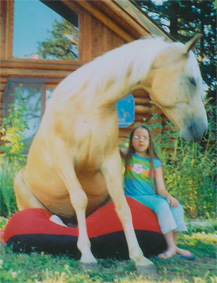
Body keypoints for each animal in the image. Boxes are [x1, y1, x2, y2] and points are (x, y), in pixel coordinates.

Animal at [13, 34, 207, 276]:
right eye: (192, 80)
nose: (202, 130)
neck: (89, 104)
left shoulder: (110, 162)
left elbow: (123, 208)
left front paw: (139, 258)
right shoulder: (64, 160)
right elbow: (79, 199)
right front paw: (87, 256)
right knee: (52, 218)